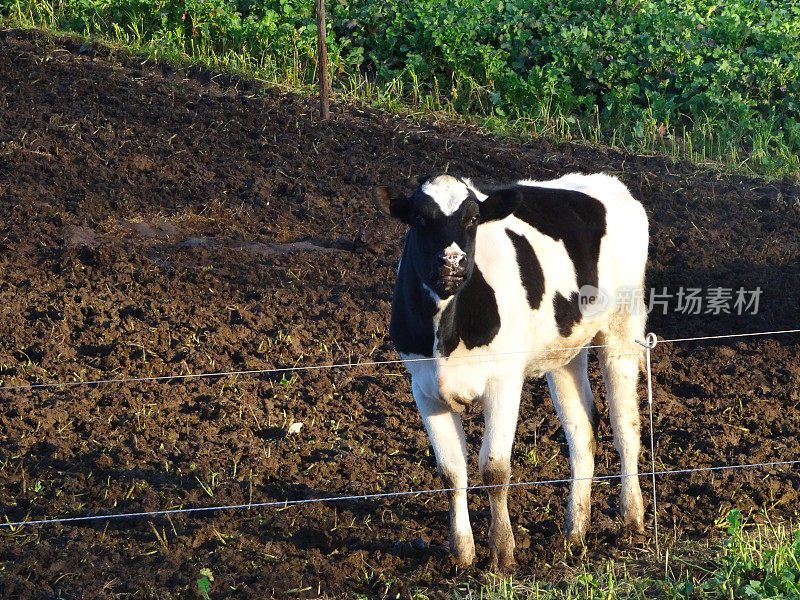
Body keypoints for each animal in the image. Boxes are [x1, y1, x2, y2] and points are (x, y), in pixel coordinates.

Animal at [376, 172, 648, 568]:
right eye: (420, 218)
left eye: (473, 218)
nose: (453, 260)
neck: (447, 330)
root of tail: (607, 182)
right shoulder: (424, 388)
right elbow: (451, 471)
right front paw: (462, 552)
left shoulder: (503, 381)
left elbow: (494, 468)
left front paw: (503, 551)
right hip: (565, 351)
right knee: (582, 430)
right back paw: (575, 530)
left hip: (621, 328)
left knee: (626, 426)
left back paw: (632, 520)